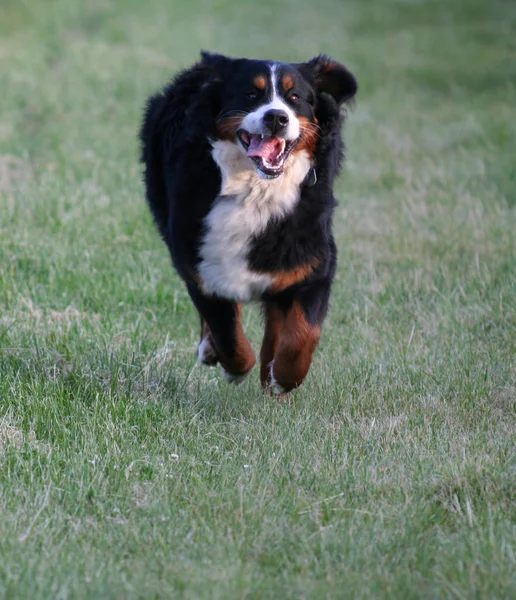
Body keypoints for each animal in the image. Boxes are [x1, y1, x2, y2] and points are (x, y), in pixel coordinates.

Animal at [141, 50, 358, 394]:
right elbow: (227, 332)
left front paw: (282, 377)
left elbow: (303, 332)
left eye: (295, 98)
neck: (256, 192)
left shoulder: (311, 262)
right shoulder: (202, 265)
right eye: (251, 95)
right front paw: (236, 368)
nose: (276, 117)